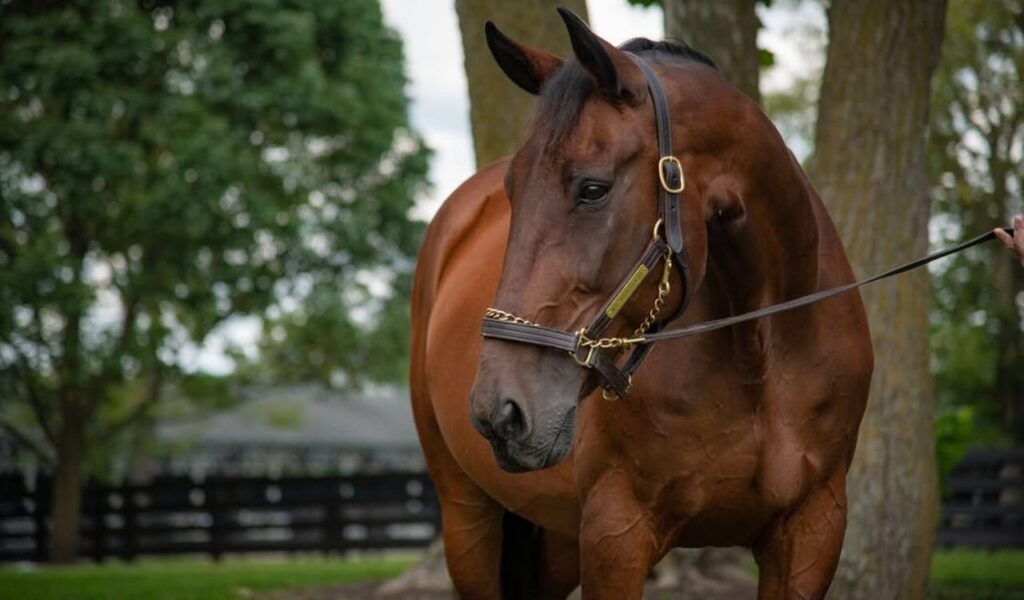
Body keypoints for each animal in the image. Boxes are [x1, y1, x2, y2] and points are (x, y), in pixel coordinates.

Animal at [409, 8, 873, 599]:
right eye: (512, 190)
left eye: (593, 188)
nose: (500, 411)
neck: (763, 352)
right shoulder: (617, 533)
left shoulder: (813, 530)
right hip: (468, 517)